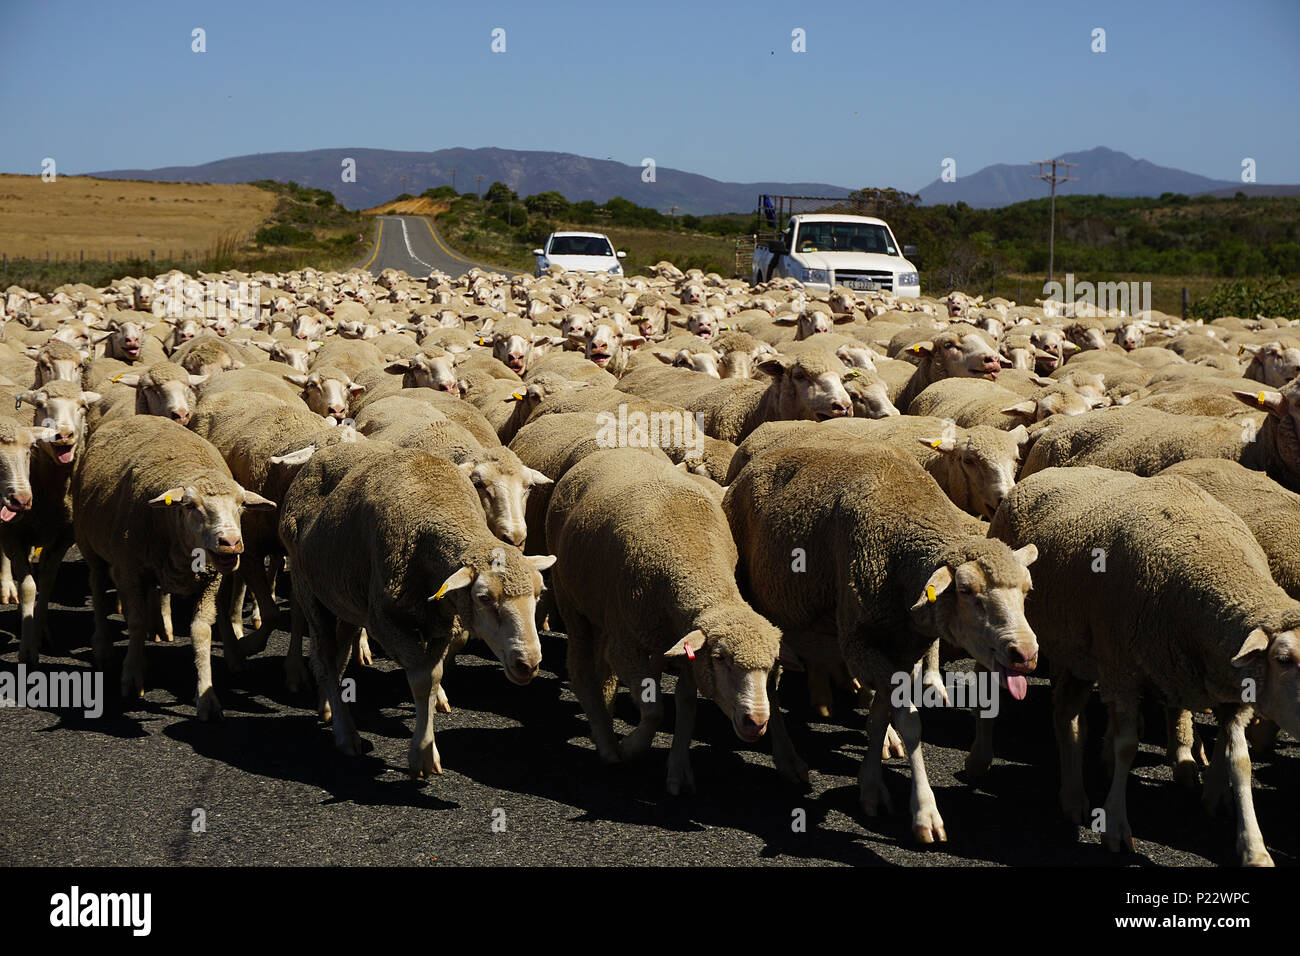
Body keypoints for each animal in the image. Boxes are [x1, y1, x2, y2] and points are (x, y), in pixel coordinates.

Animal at [72, 416, 275, 719]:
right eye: (190, 506)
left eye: (241, 505)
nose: (230, 542)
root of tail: (130, 417)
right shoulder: (129, 571)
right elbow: (135, 621)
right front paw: (131, 676)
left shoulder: (210, 581)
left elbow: (201, 631)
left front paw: (207, 697)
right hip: (90, 544)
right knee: (97, 588)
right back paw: (104, 647)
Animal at [277, 441, 555, 775]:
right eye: (484, 597)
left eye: (539, 593)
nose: (528, 663)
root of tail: (323, 452)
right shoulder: (387, 620)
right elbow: (422, 681)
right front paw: (422, 755)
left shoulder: (441, 621)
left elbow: (434, 678)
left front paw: (426, 742)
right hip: (308, 588)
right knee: (327, 659)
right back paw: (345, 734)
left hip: (344, 594)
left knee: (338, 655)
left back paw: (328, 706)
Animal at [545, 448, 783, 793]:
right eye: (720, 658)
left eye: (771, 665)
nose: (757, 722)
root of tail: (611, 450)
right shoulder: (626, 646)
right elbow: (655, 711)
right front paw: (630, 748)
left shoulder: (688, 647)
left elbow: (686, 706)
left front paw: (678, 770)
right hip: (571, 599)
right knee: (581, 667)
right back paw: (606, 742)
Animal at [723, 442, 1038, 842]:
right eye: (966, 590)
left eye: (1027, 590)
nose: (1025, 654)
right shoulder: (860, 641)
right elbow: (908, 721)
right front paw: (924, 813)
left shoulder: (901, 647)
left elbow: (879, 715)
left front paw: (871, 785)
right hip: (761, 605)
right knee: (769, 685)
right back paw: (788, 760)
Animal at [986, 466, 1300, 865]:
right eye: (1283, 659)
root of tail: (1039, 473)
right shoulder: (1121, 671)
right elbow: (1126, 747)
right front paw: (1117, 827)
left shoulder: (1231, 690)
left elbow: (1240, 763)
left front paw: (1253, 847)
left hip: (1080, 650)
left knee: (1067, 715)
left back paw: (1074, 795)